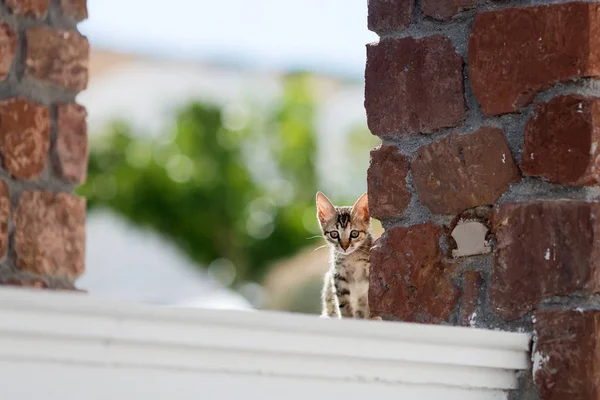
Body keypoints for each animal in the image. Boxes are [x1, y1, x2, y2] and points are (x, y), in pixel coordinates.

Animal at [316, 192, 378, 320]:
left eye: (354, 233)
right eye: (334, 234)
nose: (345, 247)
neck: (352, 257)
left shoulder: (370, 272)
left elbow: (369, 300)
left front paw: (370, 317)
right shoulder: (338, 275)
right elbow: (343, 302)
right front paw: (347, 318)